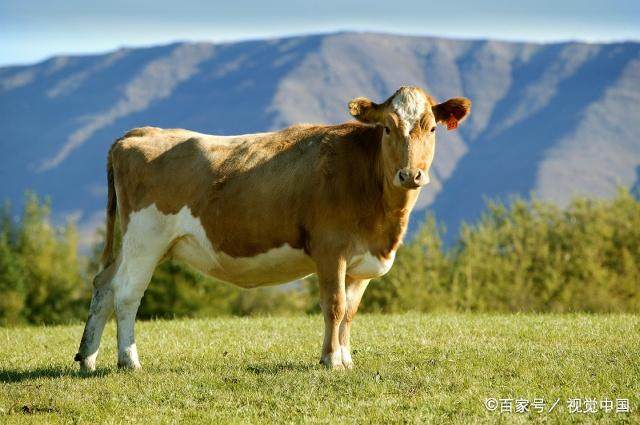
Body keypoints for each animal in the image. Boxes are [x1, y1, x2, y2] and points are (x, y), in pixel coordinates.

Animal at [75, 84, 470, 370]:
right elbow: (334, 305)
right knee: (127, 293)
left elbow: (350, 312)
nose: (410, 174)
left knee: (104, 284)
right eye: (388, 127)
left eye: (432, 128)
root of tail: (140, 133)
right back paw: (129, 361)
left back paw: (87, 359)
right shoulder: (330, 251)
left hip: (131, 242)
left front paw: (345, 357)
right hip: (146, 238)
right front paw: (331, 360)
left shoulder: (362, 262)